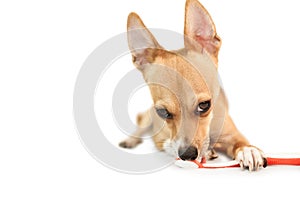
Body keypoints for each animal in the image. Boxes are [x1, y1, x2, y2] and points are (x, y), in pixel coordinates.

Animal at [118, 0, 266, 172]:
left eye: (204, 105)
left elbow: (240, 141)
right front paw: (205, 151)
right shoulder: (160, 137)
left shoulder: (231, 134)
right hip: (148, 117)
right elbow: (169, 144)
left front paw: (248, 150)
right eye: (162, 112)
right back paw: (130, 140)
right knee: (141, 124)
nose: (187, 154)